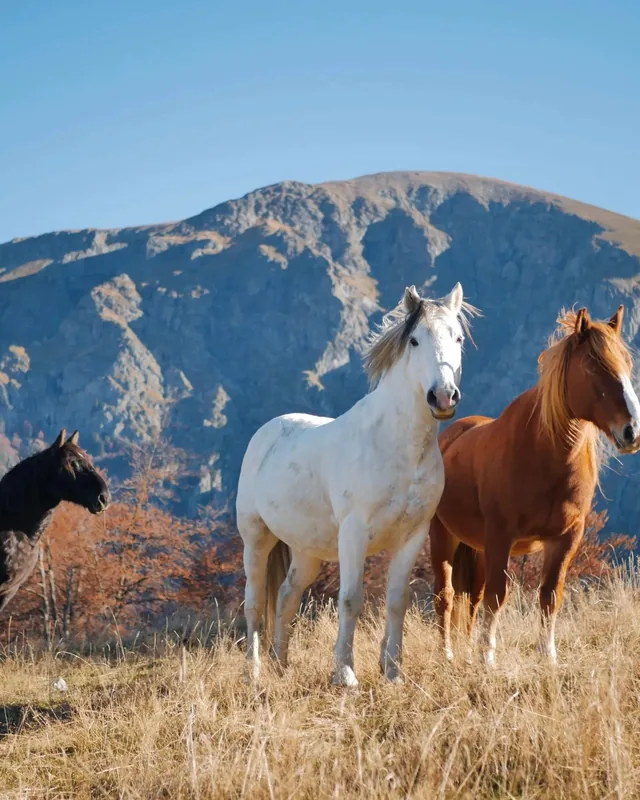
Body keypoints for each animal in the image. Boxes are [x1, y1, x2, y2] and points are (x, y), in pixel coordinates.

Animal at [236, 282, 477, 686]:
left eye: (457, 338)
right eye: (414, 340)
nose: (443, 396)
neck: (395, 445)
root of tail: (267, 432)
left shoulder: (413, 536)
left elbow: (397, 602)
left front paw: (393, 672)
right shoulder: (354, 533)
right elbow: (350, 599)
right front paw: (345, 674)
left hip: (307, 550)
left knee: (286, 596)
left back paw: (281, 664)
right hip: (256, 539)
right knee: (255, 602)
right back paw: (254, 673)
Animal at [429, 305, 640, 666]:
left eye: (628, 364)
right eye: (593, 366)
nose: (632, 432)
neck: (544, 455)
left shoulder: (565, 538)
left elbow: (550, 596)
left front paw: (548, 656)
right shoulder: (502, 536)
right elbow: (498, 596)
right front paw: (488, 658)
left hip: (478, 549)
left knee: (471, 599)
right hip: (443, 537)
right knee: (446, 596)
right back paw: (447, 655)